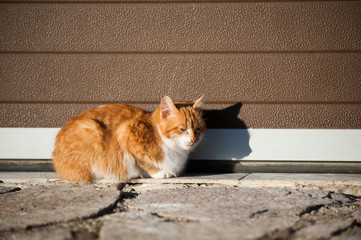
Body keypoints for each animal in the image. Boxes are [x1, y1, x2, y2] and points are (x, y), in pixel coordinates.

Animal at [51, 95, 205, 182]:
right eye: (182, 129)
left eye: (198, 129)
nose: (193, 139)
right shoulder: (126, 131)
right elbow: (143, 161)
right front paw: (159, 172)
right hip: (92, 130)